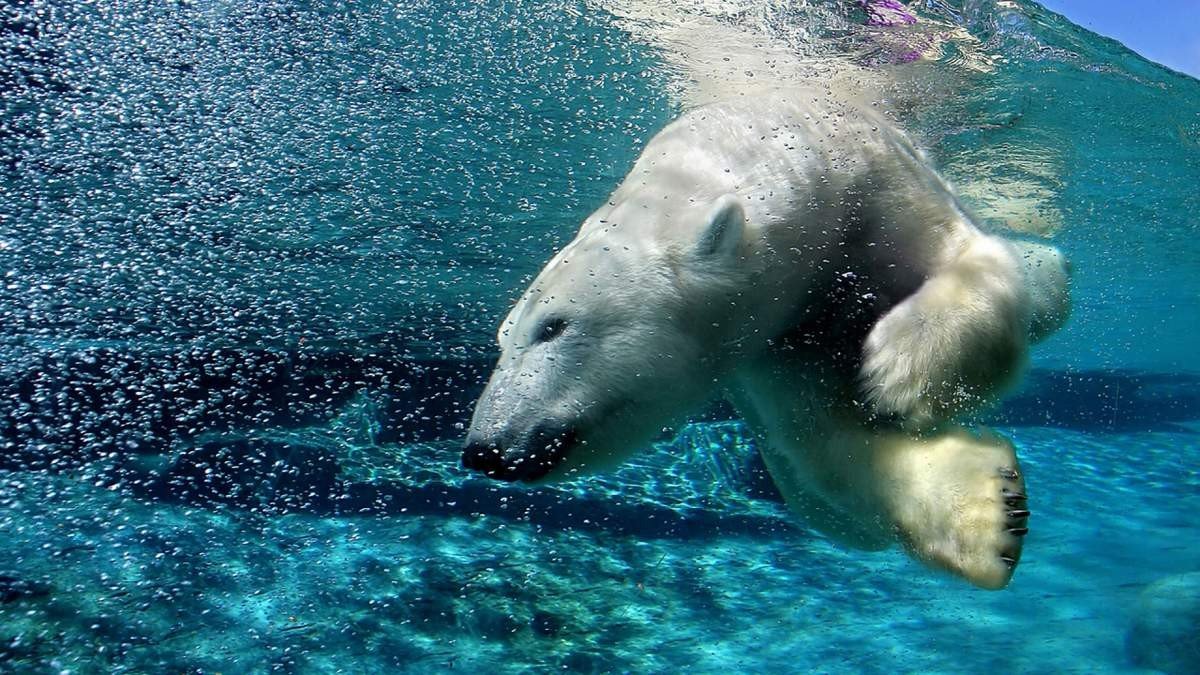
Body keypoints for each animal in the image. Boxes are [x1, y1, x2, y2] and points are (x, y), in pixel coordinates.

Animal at [461, 93, 1070, 590]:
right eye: (502, 339)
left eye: (553, 326)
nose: (485, 450)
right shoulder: (768, 345)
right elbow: (823, 441)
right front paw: (990, 512)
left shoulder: (878, 188)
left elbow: (968, 260)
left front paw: (901, 372)